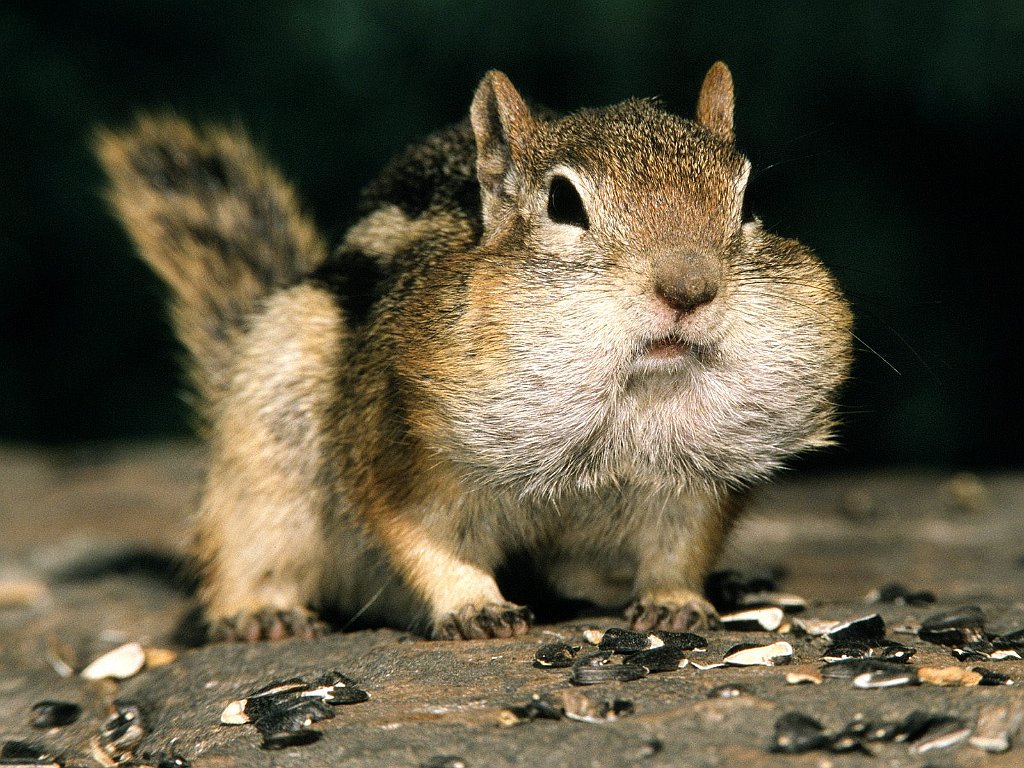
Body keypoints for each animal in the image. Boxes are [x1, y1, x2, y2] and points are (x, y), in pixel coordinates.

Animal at [96, 64, 851, 643]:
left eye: (747, 202)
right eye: (563, 203)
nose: (689, 289)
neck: (631, 394)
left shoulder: (694, 481)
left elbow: (680, 543)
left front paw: (677, 600)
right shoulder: (398, 450)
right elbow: (425, 536)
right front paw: (474, 606)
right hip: (265, 447)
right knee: (245, 547)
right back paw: (260, 612)